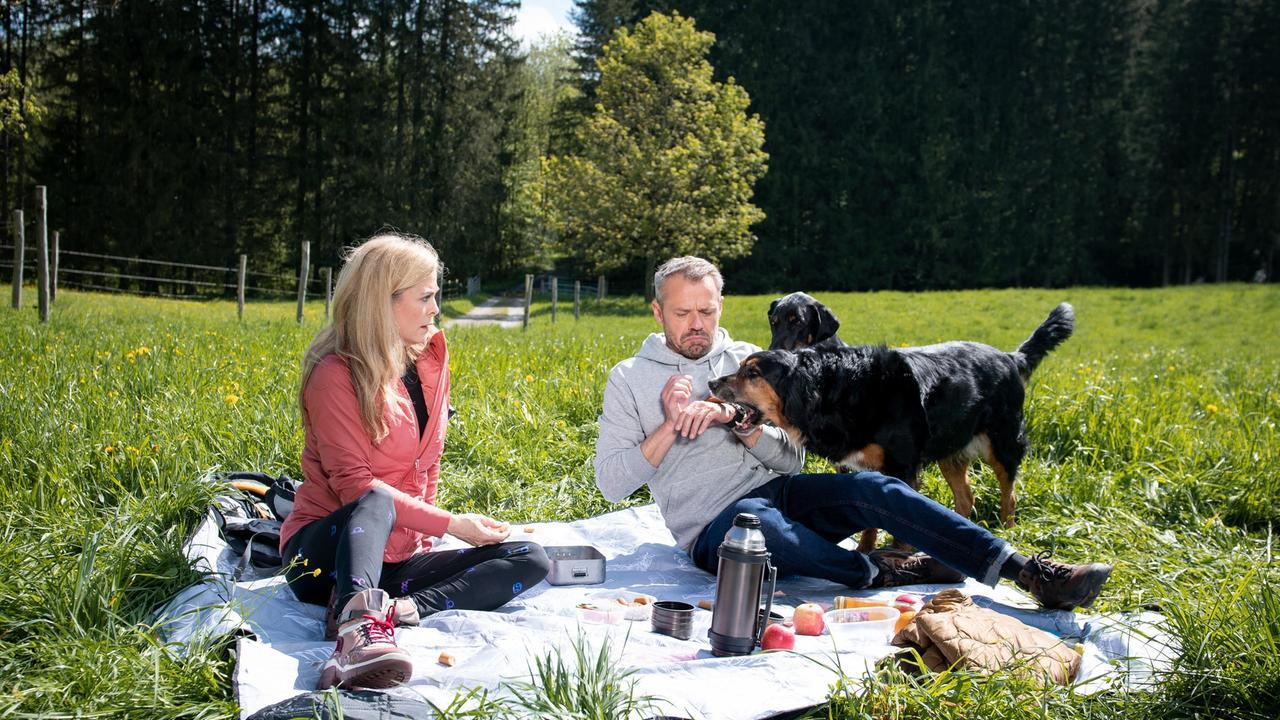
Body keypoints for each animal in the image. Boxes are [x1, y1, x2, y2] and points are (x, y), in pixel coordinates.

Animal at [706, 302, 1075, 548]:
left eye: (752, 373)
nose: (711, 383)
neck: (837, 391)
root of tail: (1009, 357)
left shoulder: (902, 467)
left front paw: (895, 553)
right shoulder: (862, 468)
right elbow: (869, 523)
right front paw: (869, 551)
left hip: (1002, 441)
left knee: (1009, 492)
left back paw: (1009, 530)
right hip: (950, 448)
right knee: (966, 498)